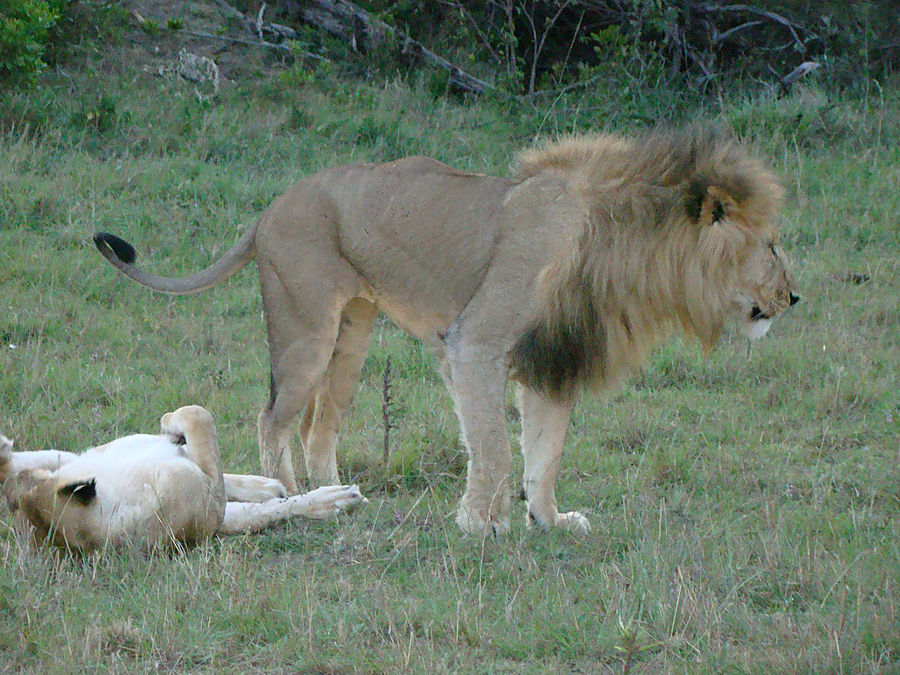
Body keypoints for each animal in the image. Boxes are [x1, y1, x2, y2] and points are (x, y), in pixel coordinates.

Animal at [95, 127, 800, 536]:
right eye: (770, 244)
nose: (794, 296)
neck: (620, 245)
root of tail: (269, 208)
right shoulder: (477, 344)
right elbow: (493, 450)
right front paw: (478, 526)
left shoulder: (551, 360)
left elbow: (544, 454)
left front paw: (550, 520)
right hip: (305, 328)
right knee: (273, 419)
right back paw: (293, 497)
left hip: (354, 332)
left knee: (321, 426)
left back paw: (336, 493)